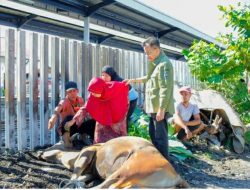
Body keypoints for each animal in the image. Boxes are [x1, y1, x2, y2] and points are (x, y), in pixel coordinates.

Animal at [38, 137, 188, 189]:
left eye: (52, 146)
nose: (40, 152)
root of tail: (177, 177)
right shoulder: (92, 173)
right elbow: (80, 178)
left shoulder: (88, 153)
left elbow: (75, 175)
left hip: (127, 171)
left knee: (106, 186)